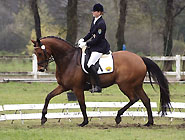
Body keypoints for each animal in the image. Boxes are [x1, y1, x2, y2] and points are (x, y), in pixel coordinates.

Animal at [30, 36, 171, 127]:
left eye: (40, 53)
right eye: (35, 53)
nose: (41, 69)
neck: (68, 59)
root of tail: (140, 58)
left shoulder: (77, 88)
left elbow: (82, 104)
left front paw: (84, 122)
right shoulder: (63, 86)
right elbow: (48, 97)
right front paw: (43, 118)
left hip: (125, 85)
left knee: (134, 98)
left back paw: (118, 117)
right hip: (136, 85)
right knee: (145, 100)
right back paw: (149, 122)